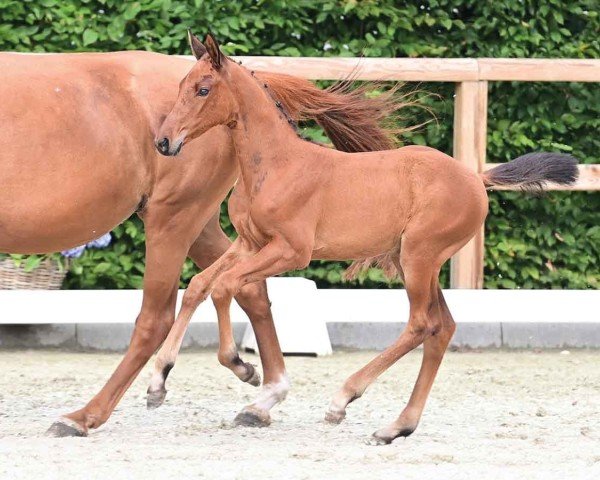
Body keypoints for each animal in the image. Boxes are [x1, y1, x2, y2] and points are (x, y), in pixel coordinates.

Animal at [3, 47, 404, 436]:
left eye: (203, 90)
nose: (165, 141)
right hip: (212, 227)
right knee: (240, 288)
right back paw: (258, 395)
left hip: (174, 218)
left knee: (157, 317)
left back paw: (85, 416)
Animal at [154, 33, 576, 444]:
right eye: (180, 85)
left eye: (203, 89)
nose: (163, 142)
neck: (275, 166)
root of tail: (476, 177)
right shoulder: (250, 243)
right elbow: (198, 286)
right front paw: (158, 381)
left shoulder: (291, 251)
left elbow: (224, 286)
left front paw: (243, 367)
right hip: (413, 261)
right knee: (443, 327)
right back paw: (397, 427)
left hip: (419, 257)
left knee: (422, 323)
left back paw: (343, 400)